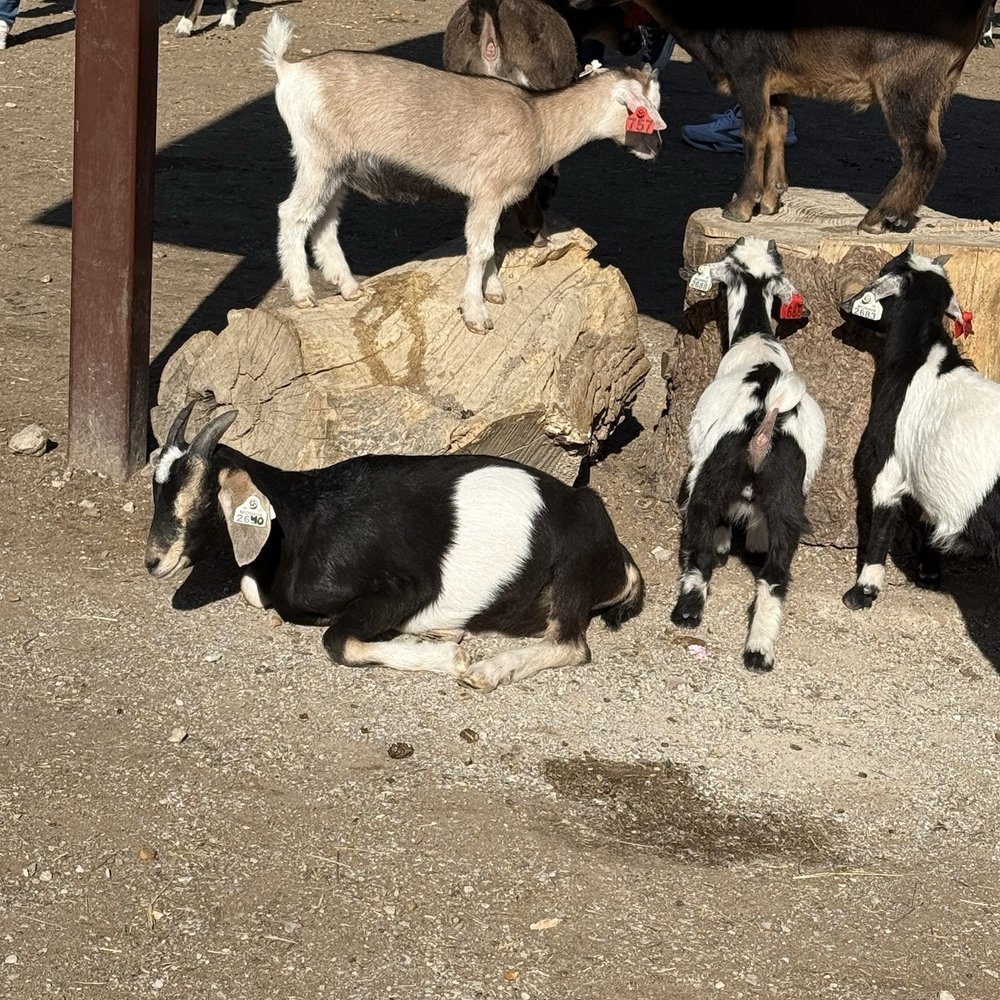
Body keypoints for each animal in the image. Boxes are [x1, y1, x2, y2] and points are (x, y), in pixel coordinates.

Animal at [145, 404, 644, 692]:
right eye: (157, 489)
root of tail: (619, 558)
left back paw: (488, 670)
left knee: (572, 644)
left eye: (200, 496)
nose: (153, 562)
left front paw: (452, 658)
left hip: (571, 573)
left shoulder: (406, 587)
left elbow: (337, 641)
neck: (302, 520)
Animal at [570, 0, 991, 233]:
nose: (572, 3)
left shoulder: (750, 69)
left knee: (925, 150)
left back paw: (881, 218)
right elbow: (776, 127)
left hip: (907, 82)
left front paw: (740, 206)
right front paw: (771, 199)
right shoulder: (776, 82)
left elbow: (753, 132)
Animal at [670, 237, 826, 672]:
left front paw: (727, 542)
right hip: (788, 497)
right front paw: (754, 539)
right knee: (774, 576)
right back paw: (759, 649)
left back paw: (688, 611)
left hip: (712, 474)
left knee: (700, 548)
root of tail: (768, 413)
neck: (757, 342)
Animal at [839, 244, 995, 612]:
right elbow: (926, 518)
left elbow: (882, 521)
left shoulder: (888, 460)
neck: (919, 358)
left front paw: (862, 591)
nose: (844, 310)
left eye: (883, 271)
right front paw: (929, 570)